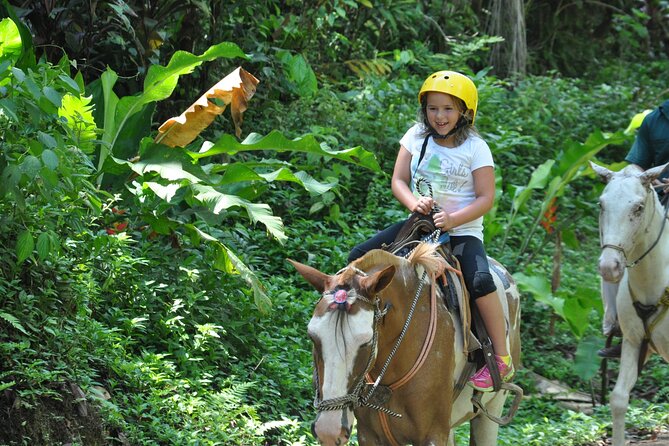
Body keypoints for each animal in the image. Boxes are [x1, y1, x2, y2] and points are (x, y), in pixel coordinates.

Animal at [290, 244, 520, 446]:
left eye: (366, 342)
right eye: (312, 337)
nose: (328, 430)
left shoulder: (433, 435)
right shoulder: (368, 435)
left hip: (492, 410)